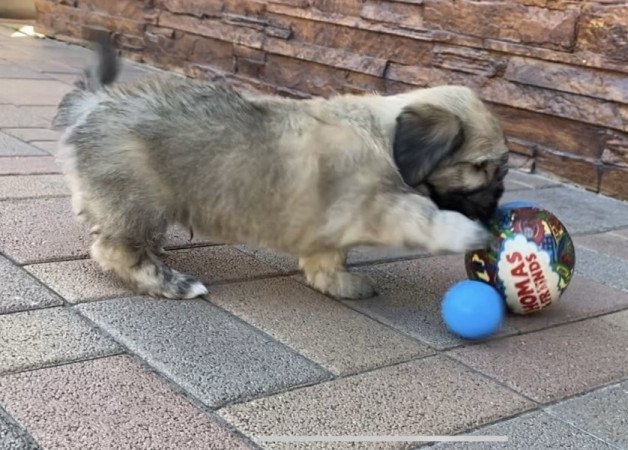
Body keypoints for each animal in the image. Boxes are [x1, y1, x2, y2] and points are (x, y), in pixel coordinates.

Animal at [55, 42, 510, 300]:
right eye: (483, 169)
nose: (496, 208)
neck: (380, 134)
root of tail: (93, 103)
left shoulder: (332, 228)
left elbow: (327, 260)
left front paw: (339, 284)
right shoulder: (375, 207)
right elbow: (420, 215)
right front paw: (468, 233)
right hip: (135, 196)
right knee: (115, 251)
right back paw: (173, 283)